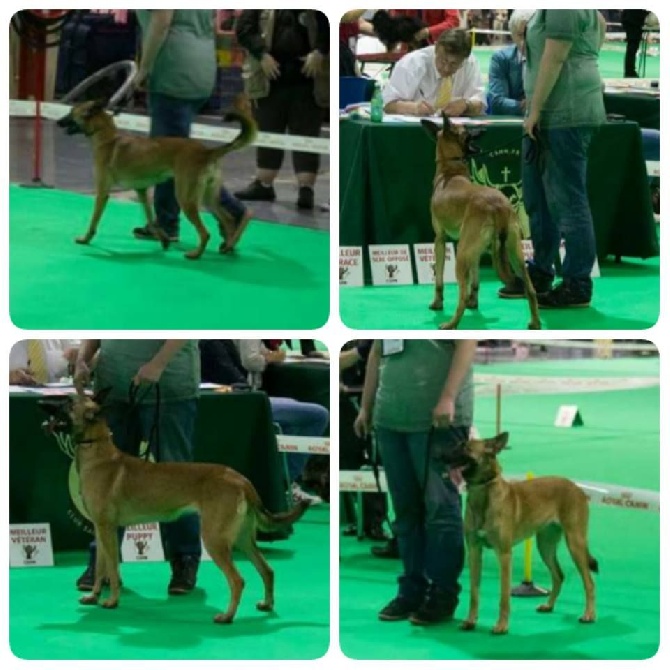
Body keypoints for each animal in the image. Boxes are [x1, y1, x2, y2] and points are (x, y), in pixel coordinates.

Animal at [37, 392, 310, 628]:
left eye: (68, 403)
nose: (41, 403)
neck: (97, 451)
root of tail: (240, 479)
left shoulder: (107, 529)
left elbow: (112, 569)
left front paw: (112, 601)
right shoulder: (100, 529)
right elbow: (101, 567)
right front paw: (93, 596)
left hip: (215, 539)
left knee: (237, 580)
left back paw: (227, 616)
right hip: (243, 539)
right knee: (267, 570)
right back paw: (266, 604)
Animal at [58, 97, 258, 260]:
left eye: (71, 111)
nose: (59, 121)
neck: (108, 138)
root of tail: (206, 152)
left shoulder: (102, 192)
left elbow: (94, 220)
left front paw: (85, 239)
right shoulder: (141, 191)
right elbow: (150, 217)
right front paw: (163, 239)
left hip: (186, 199)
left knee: (206, 232)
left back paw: (196, 254)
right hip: (208, 198)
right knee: (228, 219)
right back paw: (228, 247)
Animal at [422, 118, 544, 334]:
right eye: (466, 129)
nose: (484, 129)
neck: (450, 172)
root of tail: (498, 205)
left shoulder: (440, 240)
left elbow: (440, 279)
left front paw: (437, 303)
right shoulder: (476, 251)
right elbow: (476, 278)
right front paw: (474, 302)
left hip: (462, 254)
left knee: (461, 296)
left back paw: (451, 324)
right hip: (514, 254)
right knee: (530, 289)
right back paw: (535, 323)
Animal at [454, 436, 600, 636]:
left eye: (465, 448)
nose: (441, 455)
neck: (484, 494)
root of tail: (576, 487)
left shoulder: (504, 555)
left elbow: (504, 595)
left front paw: (502, 626)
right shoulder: (474, 552)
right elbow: (474, 593)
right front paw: (470, 621)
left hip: (575, 543)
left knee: (589, 582)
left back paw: (589, 615)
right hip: (545, 546)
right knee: (558, 575)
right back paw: (548, 605)